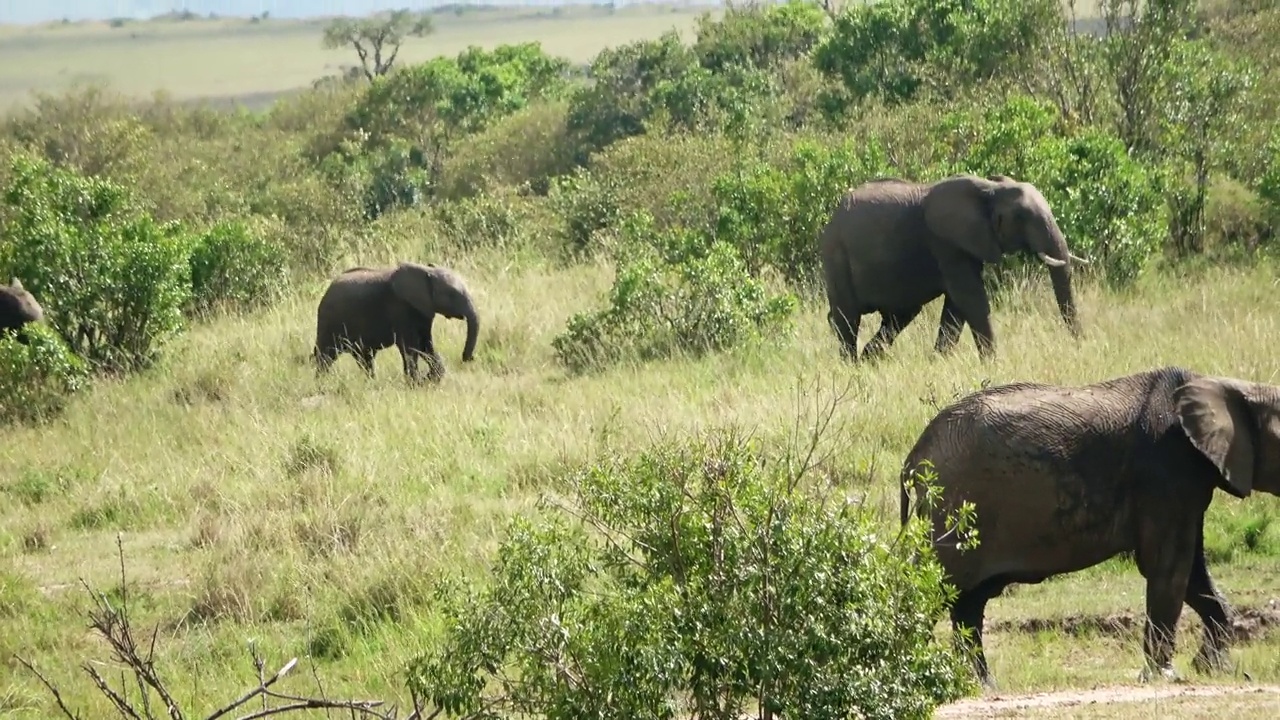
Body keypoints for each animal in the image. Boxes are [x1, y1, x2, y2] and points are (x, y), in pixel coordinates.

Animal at [313, 258, 481, 381]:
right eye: (452, 294)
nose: (468, 358)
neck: (426, 271)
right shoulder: (400, 309)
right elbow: (411, 346)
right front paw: (416, 382)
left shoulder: (423, 311)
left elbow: (425, 344)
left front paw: (429, 379)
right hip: (329, 321)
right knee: (326, 355)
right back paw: (322, 383)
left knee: (364, 357)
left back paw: (370, 382)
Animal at [819, 171, 1090, 361]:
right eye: (1022, 217)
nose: (1080, 347)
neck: (990, 190)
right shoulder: (946, 242)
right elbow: (970, 297)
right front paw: (993, 364)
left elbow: (956, 306)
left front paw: (938, 362)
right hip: (836, 254)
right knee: (848, 317)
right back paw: (852, 366)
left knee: (898, 317)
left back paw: (870, 360)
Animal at [896, 366, 1280, 686]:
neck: (1227, 385)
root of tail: (913, 456)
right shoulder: (1166, 473)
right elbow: (1168, 566)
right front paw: (1165, 677)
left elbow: (1193, 572)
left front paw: (1213, 669)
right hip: (953, 508)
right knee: (936, 587)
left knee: (968, 602)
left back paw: (983, 686)